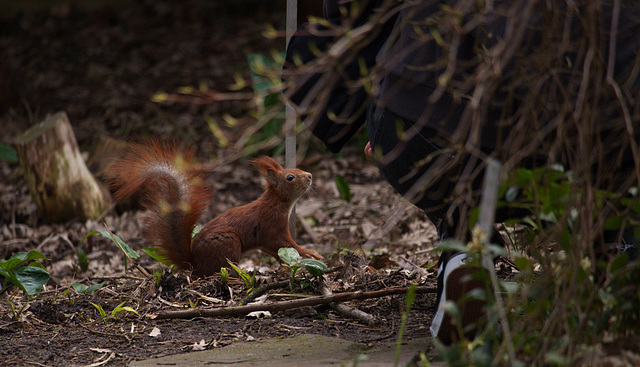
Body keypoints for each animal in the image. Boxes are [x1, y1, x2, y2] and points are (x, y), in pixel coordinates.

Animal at [109, 140, 324, 276]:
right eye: (290, 177)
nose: (310, 176)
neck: (277, 201)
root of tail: (194, 265)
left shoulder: (267, 241)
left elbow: (278, 253)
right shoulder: (272, 225)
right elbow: (286, 244)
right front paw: (310, 254)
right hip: (228, 242)